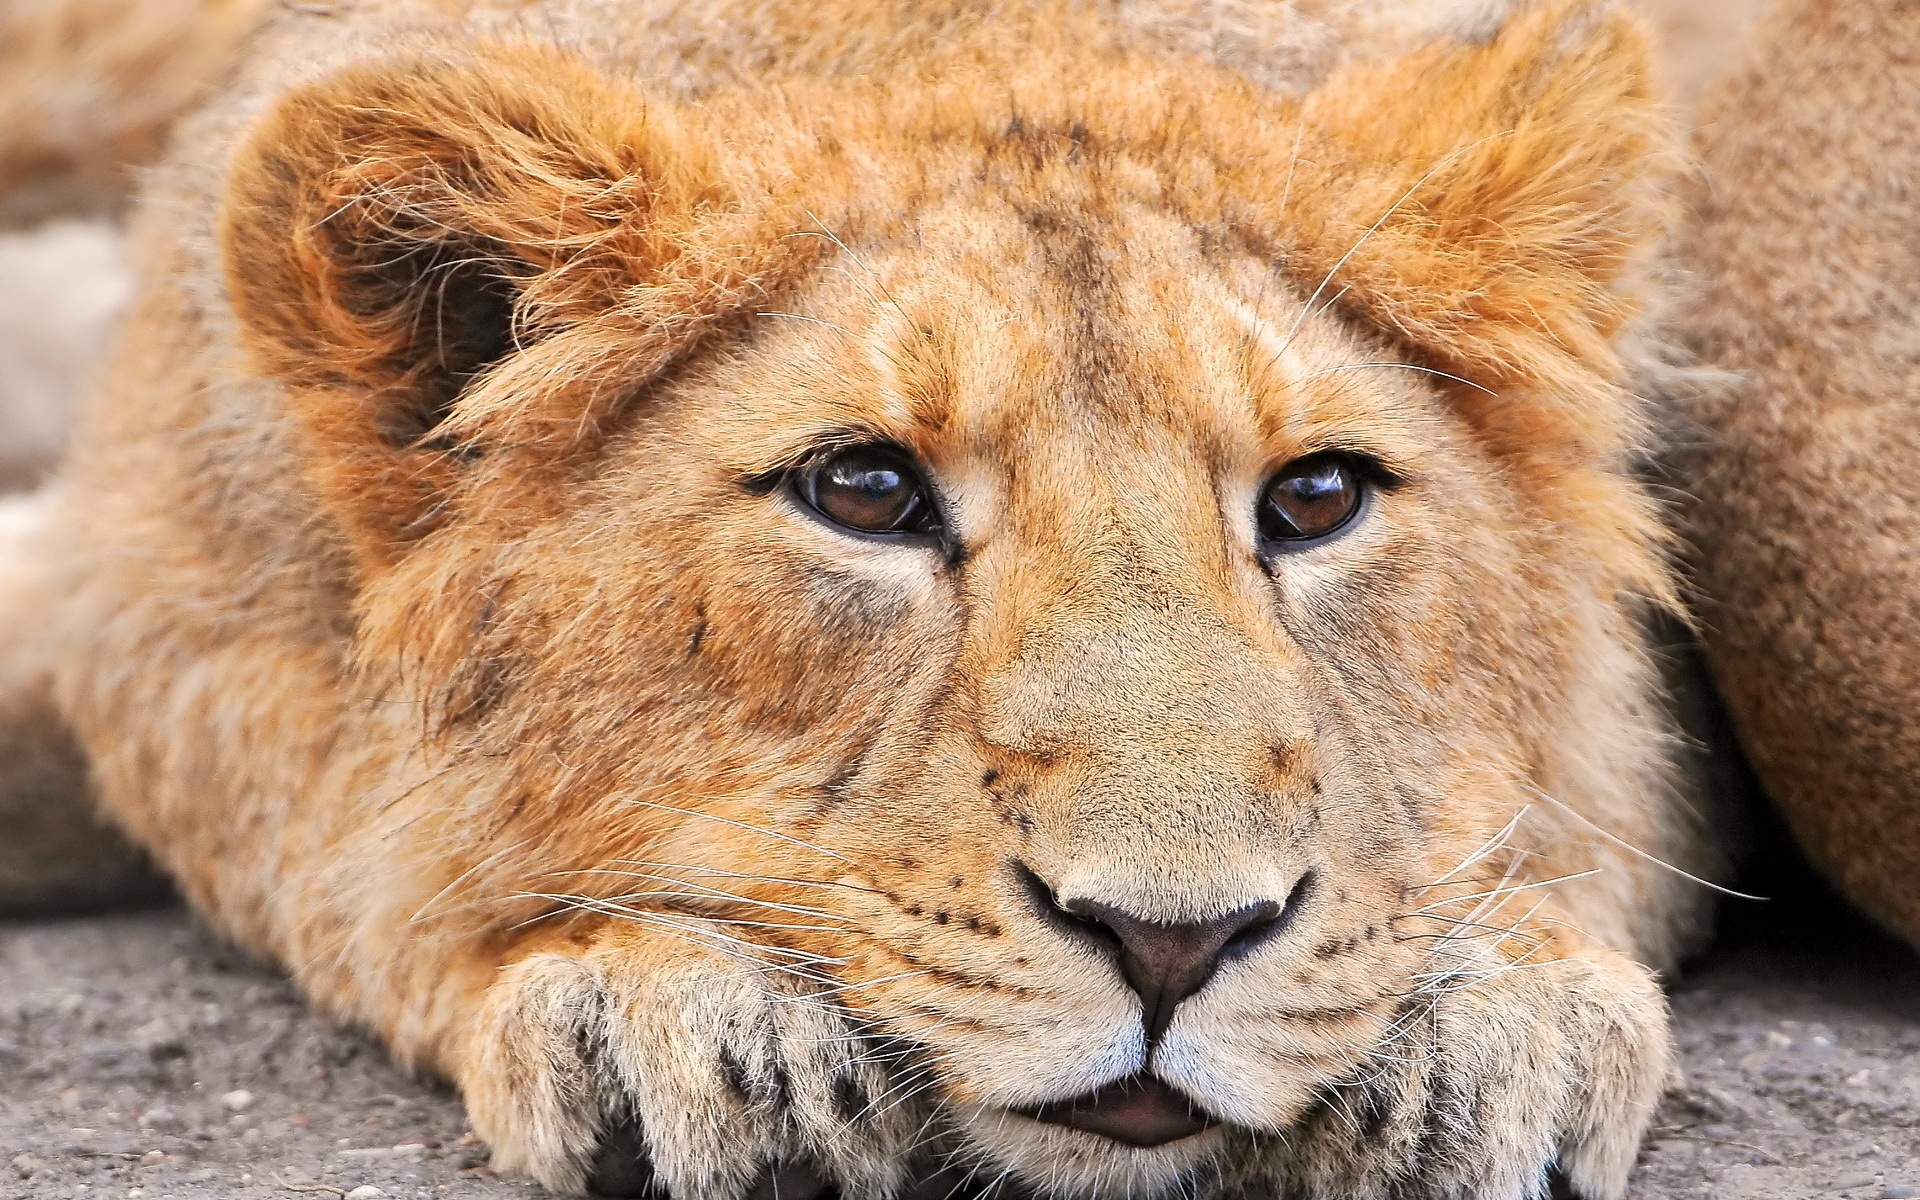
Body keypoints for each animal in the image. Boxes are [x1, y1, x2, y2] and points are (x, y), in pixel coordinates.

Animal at [0, 0, 1736, 1196]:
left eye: (1314, 501)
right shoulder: (156, 608)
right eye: (865, 492)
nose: (1170, 945)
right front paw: (672, 1012)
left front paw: (1491, 1020)